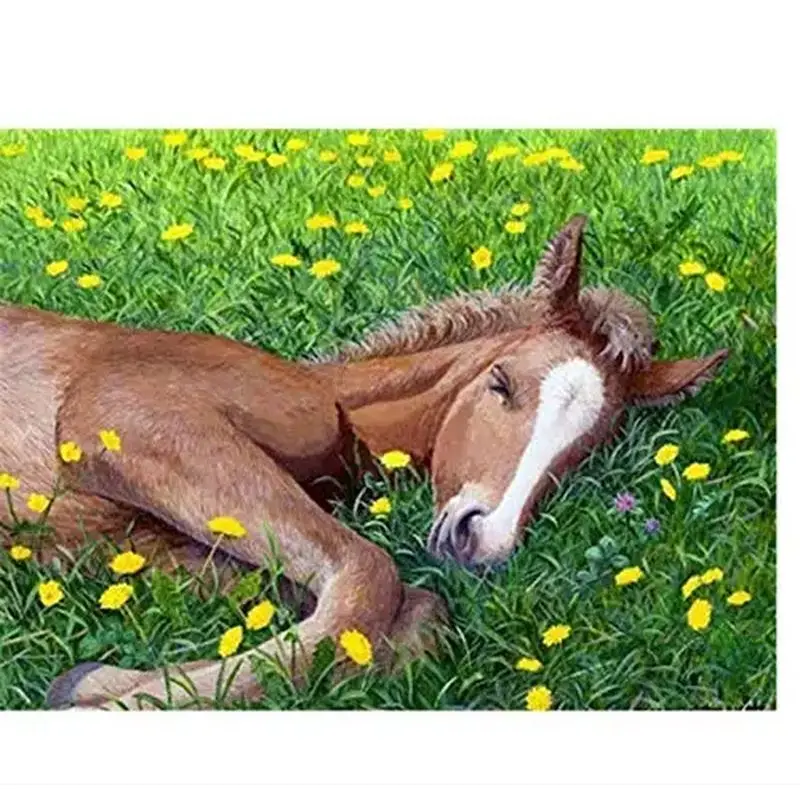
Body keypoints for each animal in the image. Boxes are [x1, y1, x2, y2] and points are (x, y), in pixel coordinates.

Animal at [0, 215, 728, 709]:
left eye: (586, 449)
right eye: (500, 383)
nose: (483, 542)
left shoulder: (129, 546)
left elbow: (400, 609)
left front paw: (91, 682)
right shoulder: (133, 423)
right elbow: (370, 578)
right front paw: (96, 699)